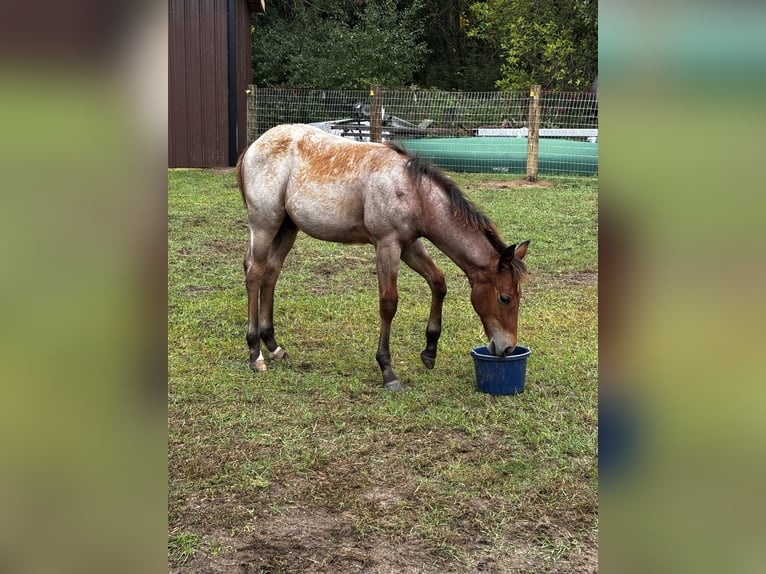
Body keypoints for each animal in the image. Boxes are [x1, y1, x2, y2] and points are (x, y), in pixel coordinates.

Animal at [237, 124, 529, 391]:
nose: (507, 348)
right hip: (264, 225)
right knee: (254, 275)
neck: (414, 193)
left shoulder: (410, 245)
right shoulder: (387, 245)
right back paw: (255, 353)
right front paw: (387, 370)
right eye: (505, 298)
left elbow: (438, 282)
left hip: (287, 228)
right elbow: (388, 303)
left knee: (271, 273)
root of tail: (254, 145)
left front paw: (430, 351)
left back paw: (273, 346)